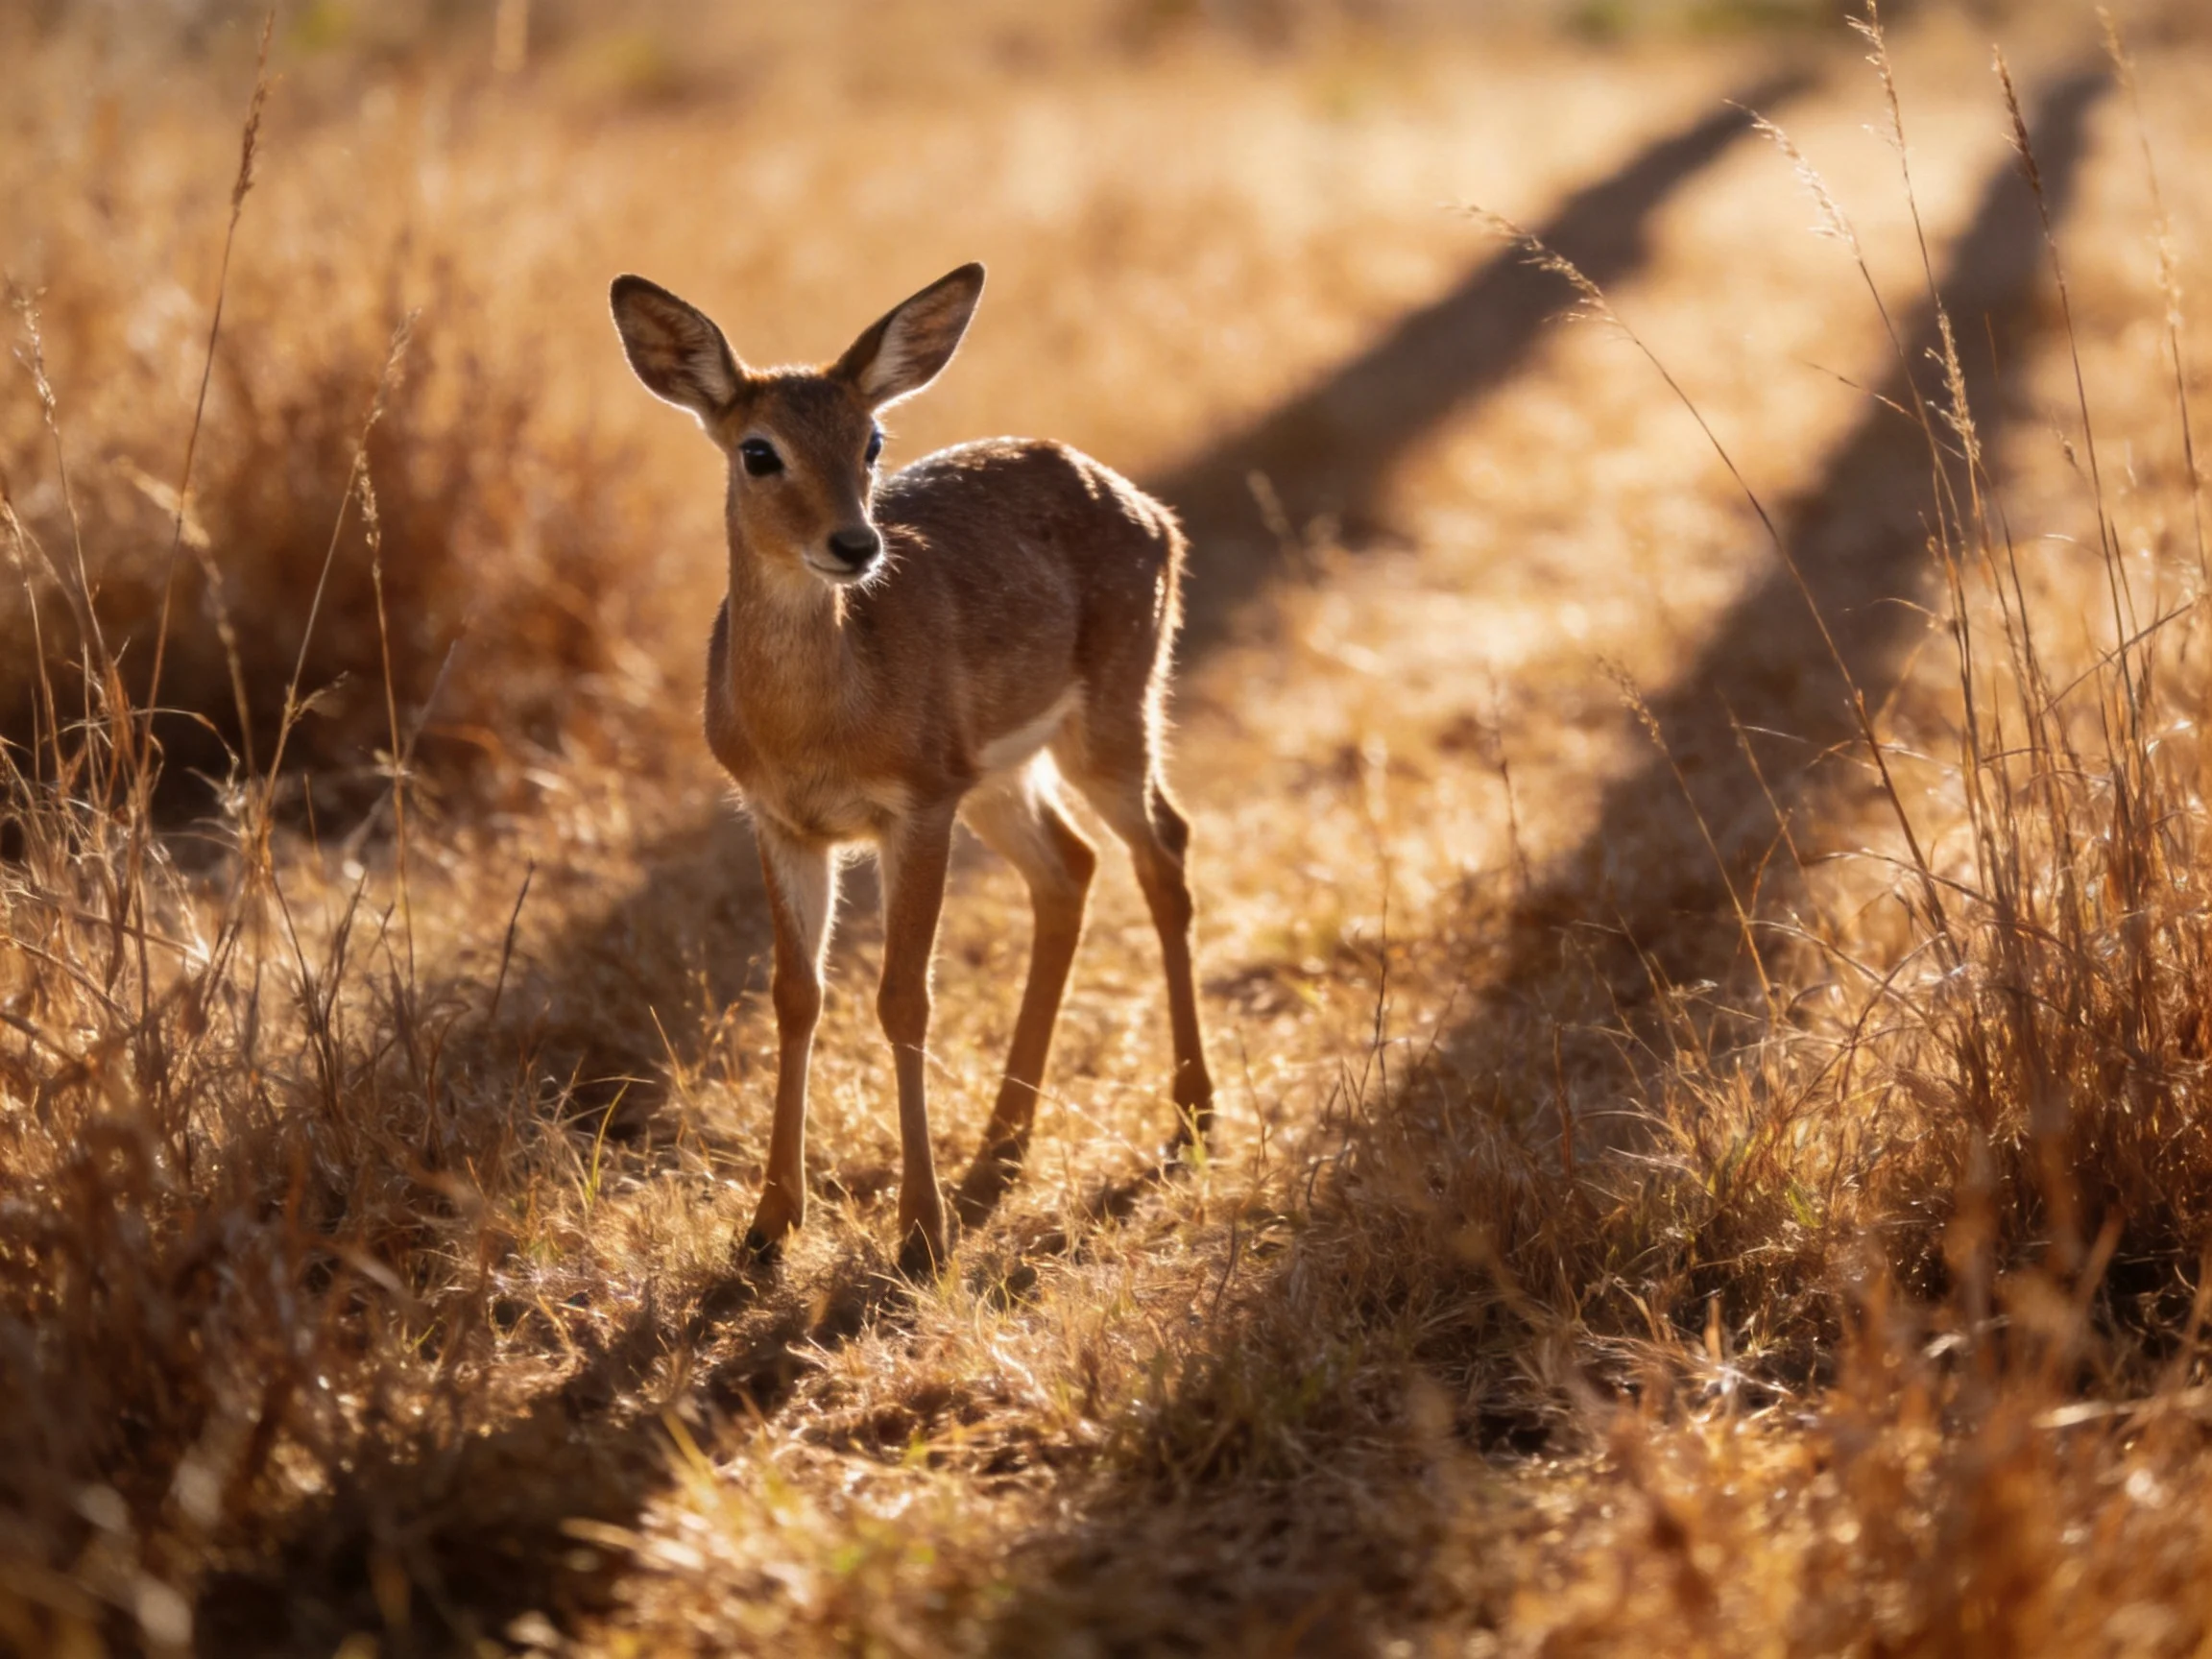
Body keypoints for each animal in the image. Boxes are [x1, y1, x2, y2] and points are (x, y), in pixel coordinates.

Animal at [609, 263, 1214, 1275]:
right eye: (759, 451)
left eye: (873, 440)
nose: (857, 545)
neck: (816, 732)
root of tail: (1159, 515)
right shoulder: (779, 819)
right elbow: (794, 995)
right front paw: (768, 1223)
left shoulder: (917, 801)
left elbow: (903, 999)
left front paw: (921, 1232)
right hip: (1000, 770)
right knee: (1071, 866)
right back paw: (1007, 1133)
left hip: (1116, 699)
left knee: (1163, 844)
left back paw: (1194, 1110)